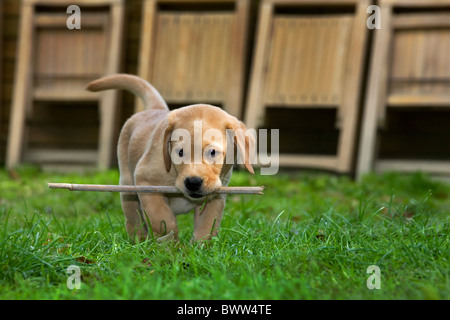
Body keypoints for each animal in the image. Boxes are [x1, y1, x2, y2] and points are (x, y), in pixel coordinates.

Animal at [84, 74, 253, 242]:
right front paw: (169, 244)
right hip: (128, 186)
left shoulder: (215, 196)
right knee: (133, 219)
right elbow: (162, 219)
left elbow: (207, 226)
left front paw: (199, 246)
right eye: (180, 152)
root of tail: (155, 109)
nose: (193, 182)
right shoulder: (147, 184)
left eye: (212, 152)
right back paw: (138, 241)